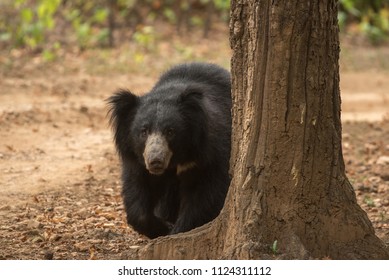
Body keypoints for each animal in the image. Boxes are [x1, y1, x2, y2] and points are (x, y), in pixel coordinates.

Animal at [106, 62, 230, 237]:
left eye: (170, 131)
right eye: (143, 131)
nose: (155, 161)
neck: (176, 160)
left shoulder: (209, 154)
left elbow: (205, 194)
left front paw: (177, 230)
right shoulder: (137, 160)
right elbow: (138, 189)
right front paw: (162, 227)